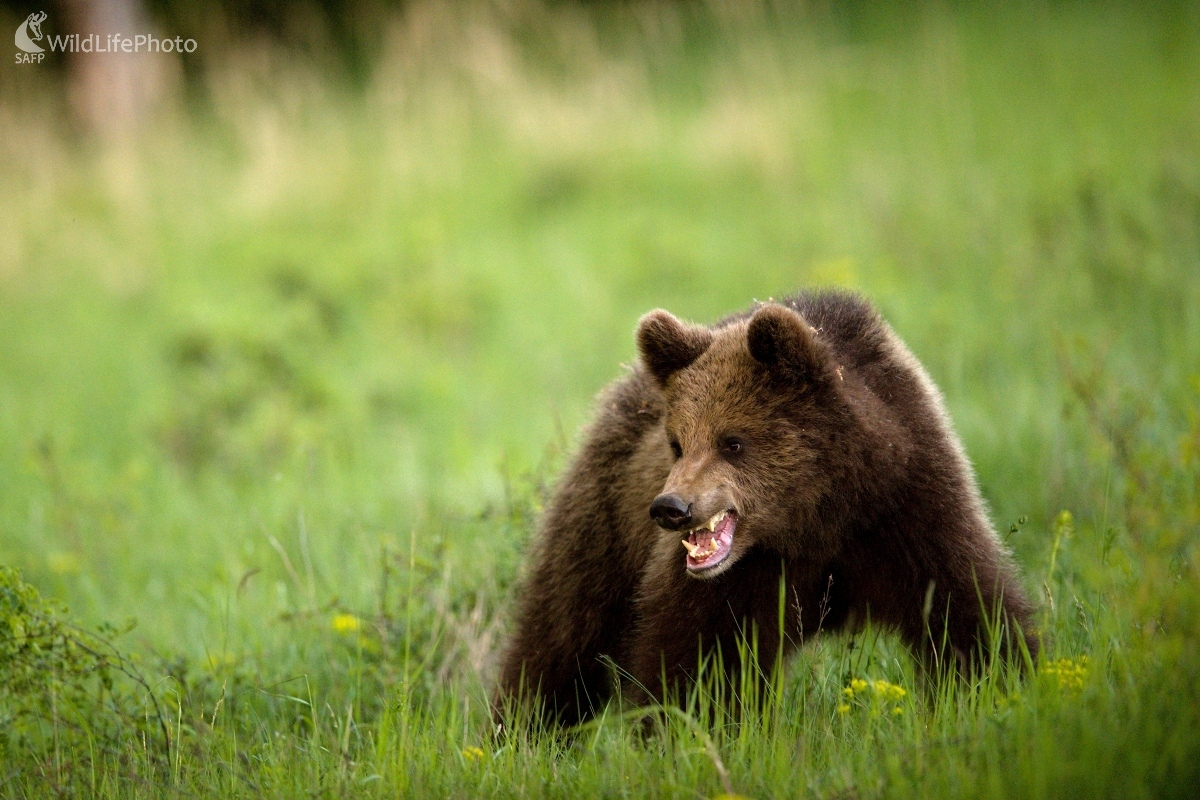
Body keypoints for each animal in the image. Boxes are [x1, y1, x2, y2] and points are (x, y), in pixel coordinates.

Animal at [492, 292, 1036, 724]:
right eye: (677, 444)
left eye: (732, 442)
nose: (671, 507)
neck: (814, 517)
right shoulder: (735, 582)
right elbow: (697, 665)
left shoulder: (906, 507)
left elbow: (970, 613)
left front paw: (1003, 691)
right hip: (603, 519)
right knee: (563, 635)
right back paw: (523, 728)